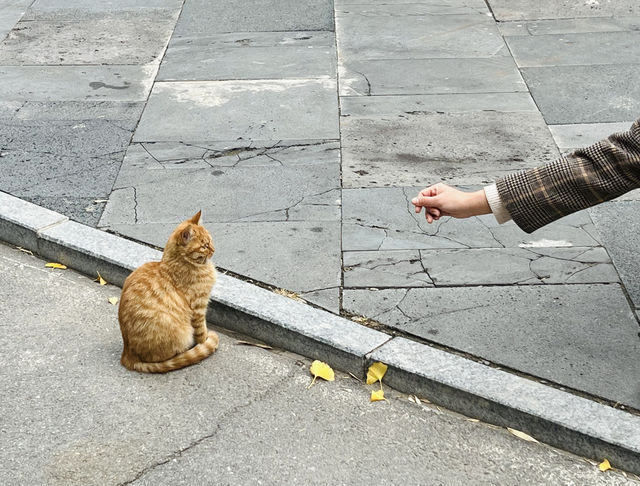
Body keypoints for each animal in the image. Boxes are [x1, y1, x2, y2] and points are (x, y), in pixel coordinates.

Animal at [118, 211, 220, 374]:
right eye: (204, 246)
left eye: (210, 240)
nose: (213, 250)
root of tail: (127, 356)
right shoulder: (198, 308)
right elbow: (201, 332)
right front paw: (204, 343)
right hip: (182, 333)